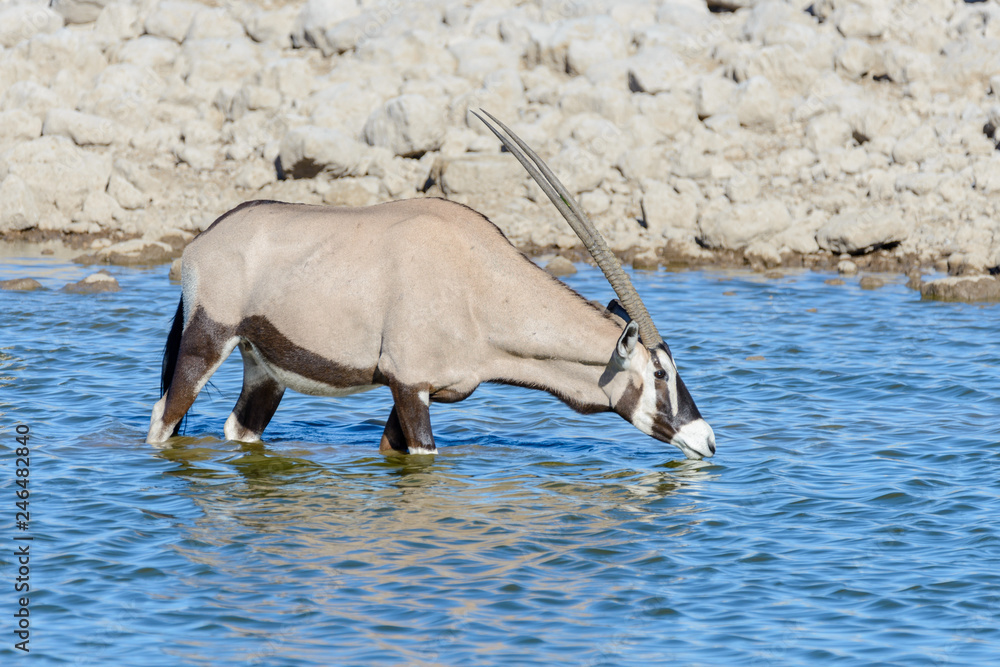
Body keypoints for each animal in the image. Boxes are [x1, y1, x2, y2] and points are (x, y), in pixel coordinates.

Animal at [147, 111, 716, 459]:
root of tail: (204, 241)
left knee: (240, 429)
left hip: (264, 369)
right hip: (207, 342)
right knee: (163, 419)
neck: (478, 286)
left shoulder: (426, 392)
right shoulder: (409, 386)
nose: (707, 439)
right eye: (660, 373)